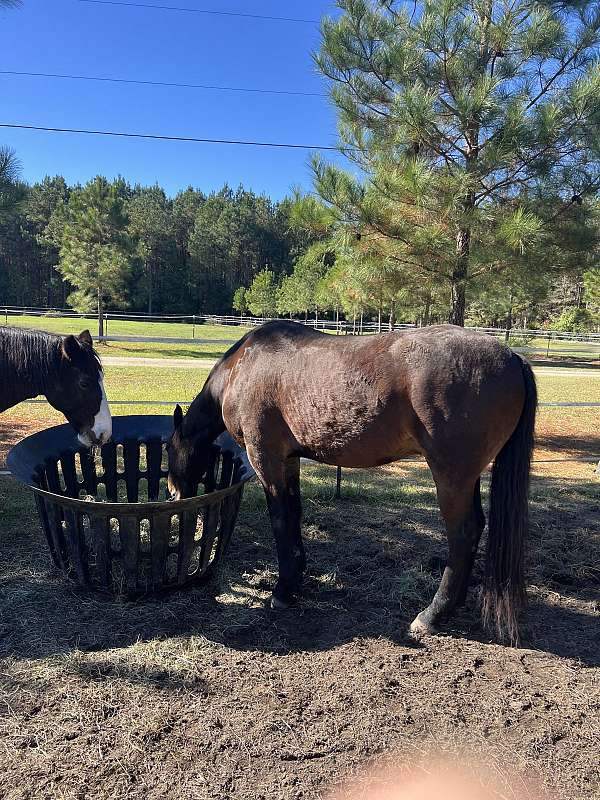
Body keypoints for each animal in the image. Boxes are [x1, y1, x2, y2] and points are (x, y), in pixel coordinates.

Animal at [166, 320, 536, 644]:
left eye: (169, 448)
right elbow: (294, 514)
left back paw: (433, 615)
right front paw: (296, 580)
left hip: (450, 476)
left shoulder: (266, 458)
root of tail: (512, 357)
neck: (243, 366)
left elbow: (280, 519)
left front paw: (283, 591)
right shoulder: (289, 459)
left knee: (463, 533)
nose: (173, 494)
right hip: (466, 477)